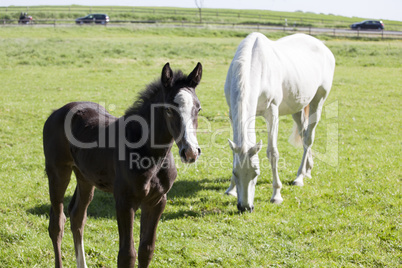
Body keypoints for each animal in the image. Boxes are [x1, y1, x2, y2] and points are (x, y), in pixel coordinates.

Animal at [44, 62, 204, 266]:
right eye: (169, 109)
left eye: (198, 109)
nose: (190, 151)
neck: (151, 155)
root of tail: (57, 112)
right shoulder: (124, 202)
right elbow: (127, 254)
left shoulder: (157, 201)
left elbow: (146, 250)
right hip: (58, 172)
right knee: (57, 223)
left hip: (85, 178)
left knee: (77, 217)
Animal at [225, 33, 334, 211]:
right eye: (235, 172)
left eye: (256, 173)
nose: (245, 207)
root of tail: (324, 47)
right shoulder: (232, 114)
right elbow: (235, 153)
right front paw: (231, 189)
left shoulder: (272, 113)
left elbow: (272, 153)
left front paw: (276, 195)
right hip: (298, 107)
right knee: (303, 133)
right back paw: (308, 169)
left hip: (318, 101)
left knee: (308, 138)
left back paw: (300, 177)